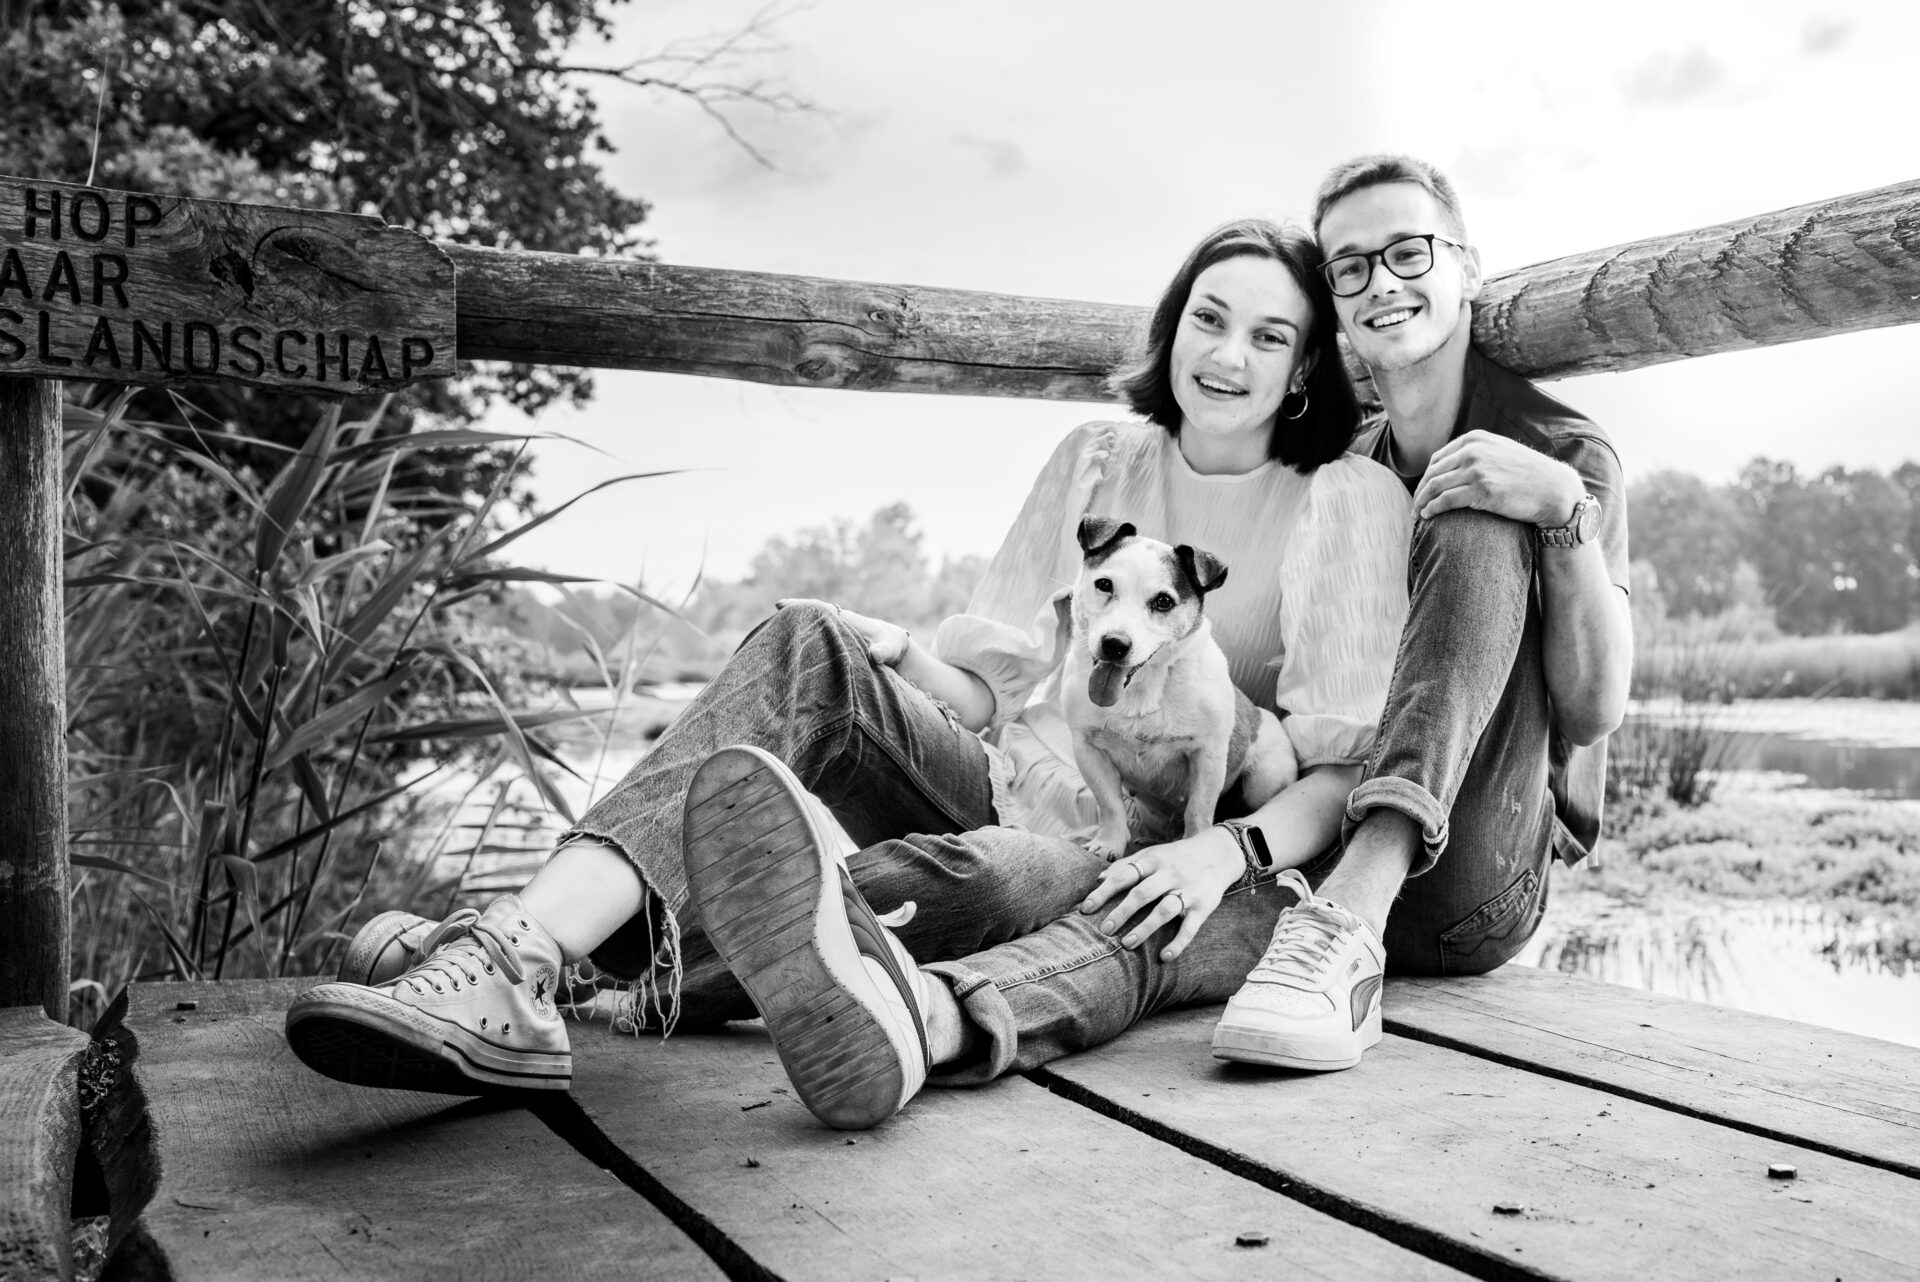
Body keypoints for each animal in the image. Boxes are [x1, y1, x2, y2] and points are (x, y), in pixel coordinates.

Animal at [1062, 516, 1298, 860]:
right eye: (1104, 584)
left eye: (1163, 601)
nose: (1114, 645)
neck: (1144, 687)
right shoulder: (1088, 749)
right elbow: (1110, 805)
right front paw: (1109, 843)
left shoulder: (1207, 756)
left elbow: (1198, 811)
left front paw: (1192, 847)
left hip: (1265, 777)